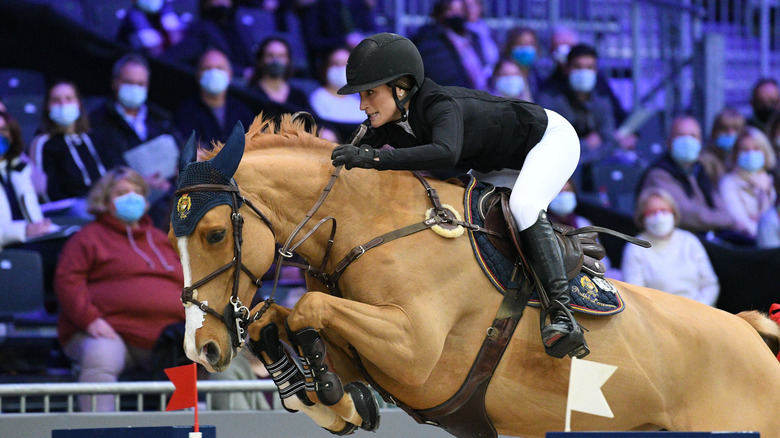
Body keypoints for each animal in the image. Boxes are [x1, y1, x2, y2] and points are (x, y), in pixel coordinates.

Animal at [169, 114, 780, 436]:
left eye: (215, 234)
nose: (202, 349)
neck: (369, 226)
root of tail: (750, 332)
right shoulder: (375, 352)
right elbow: (279, 320)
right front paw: (332, 400)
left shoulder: (415, 352)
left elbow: (307, 310)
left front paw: (328, 392)